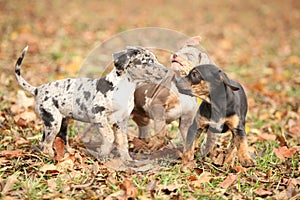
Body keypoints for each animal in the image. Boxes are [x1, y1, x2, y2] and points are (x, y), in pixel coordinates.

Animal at [15, 45, 168, 161]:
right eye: (149, 61)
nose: (167, 70)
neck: (124, 88)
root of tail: (38, 89)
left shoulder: (121, 121)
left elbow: (122, 141)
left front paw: (127, 160)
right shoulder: (98, 115)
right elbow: (109, 136)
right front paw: (103, 155)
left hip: (62, 121)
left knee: (55, 139)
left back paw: (68, 153)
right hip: (53, 122)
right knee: (46, 143)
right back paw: (51, 157)